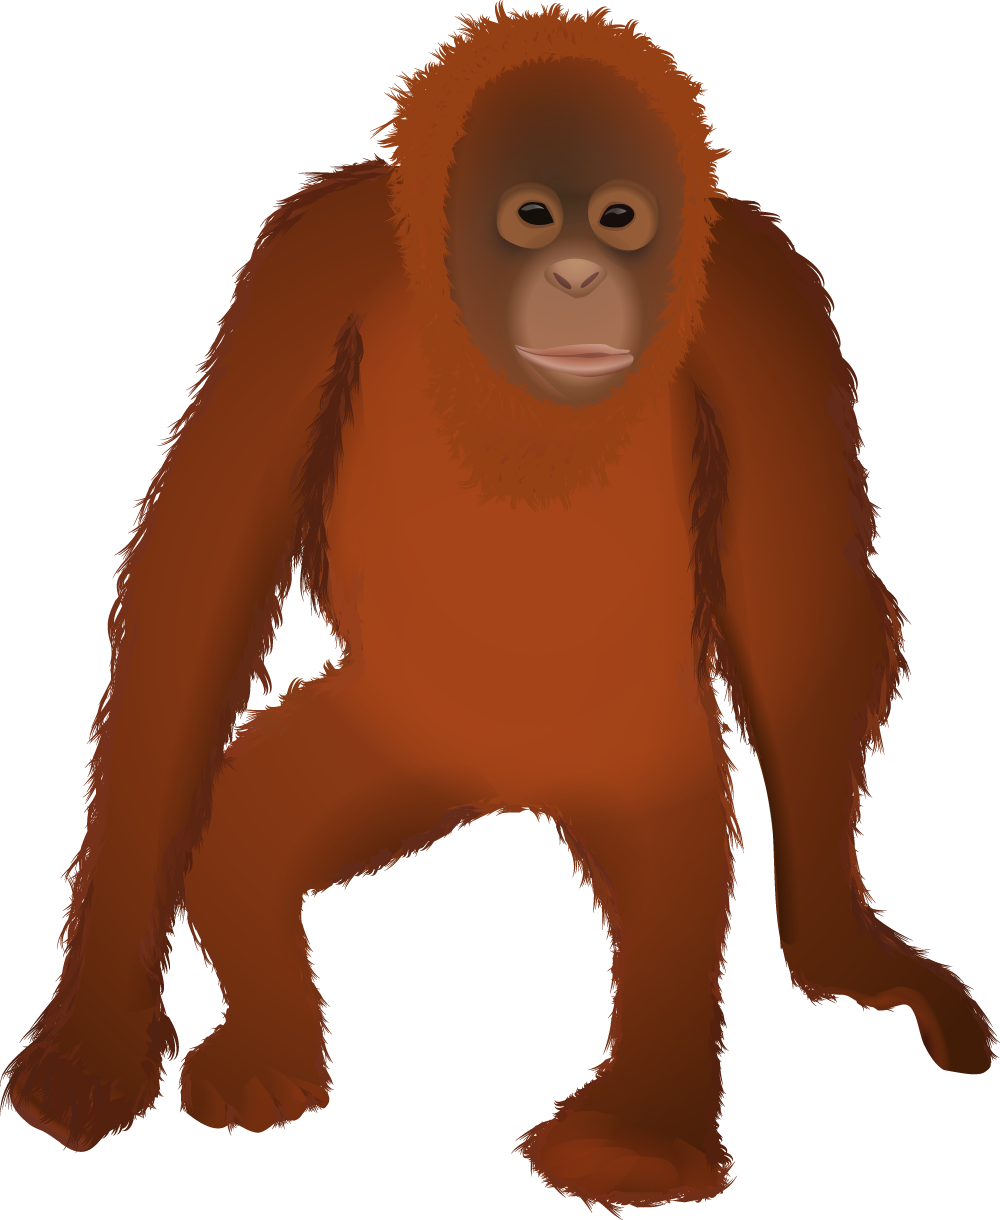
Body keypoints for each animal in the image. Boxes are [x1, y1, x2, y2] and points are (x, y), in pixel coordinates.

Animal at [1, 7, 994, 1214]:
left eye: (619, 217)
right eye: (529, 217)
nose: (575, 273)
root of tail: (509, 787)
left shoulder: (763, 301)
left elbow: (792, 593)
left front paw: (846, 948)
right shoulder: (307, 268)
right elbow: (204, 570)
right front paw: (94, 1036)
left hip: (635, 754)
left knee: (675, 883)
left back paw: (637, 1130)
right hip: (400, 738)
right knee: (242, 831)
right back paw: (271, 1044)